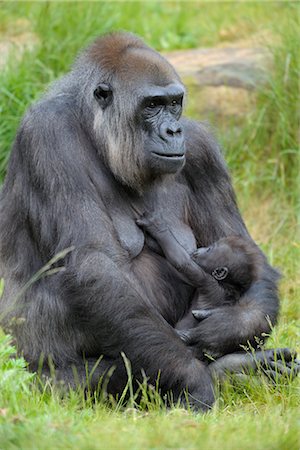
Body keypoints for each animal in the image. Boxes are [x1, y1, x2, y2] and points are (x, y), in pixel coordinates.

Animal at [0, 32, 296, 412]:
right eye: (152, 105)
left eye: (175, 103)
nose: (173, 131)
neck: (98, 135)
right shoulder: (48, 135)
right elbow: (94, 265)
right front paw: (195, 379)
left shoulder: (202, 150)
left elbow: (250, 256)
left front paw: (228, 328)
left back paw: (237, 367)